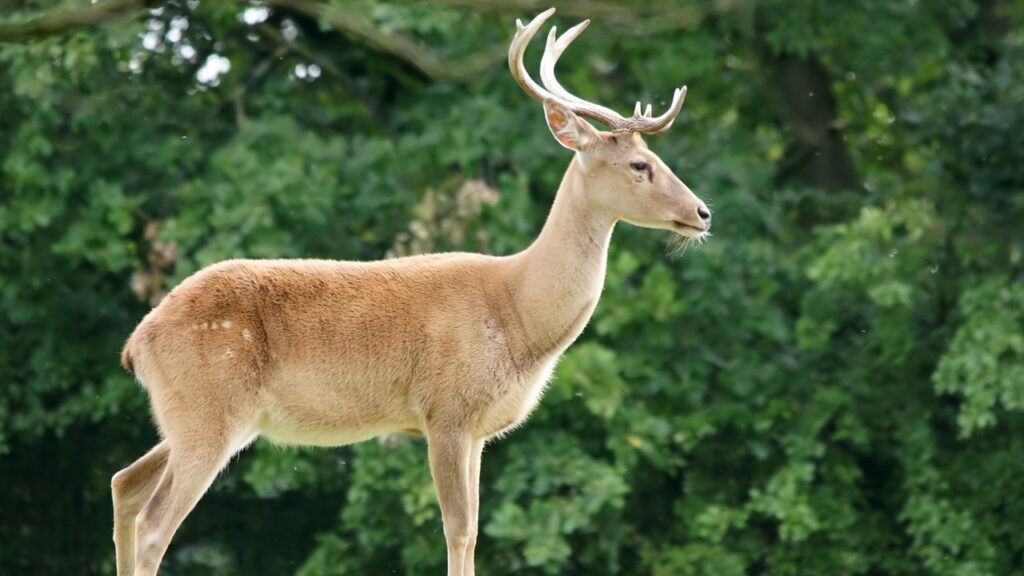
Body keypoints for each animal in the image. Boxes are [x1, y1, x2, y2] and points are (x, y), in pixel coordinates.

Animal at [111, 7, 710, 576]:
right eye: (640, 165)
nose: (703, 213)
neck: (518, 314)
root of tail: (136, 343)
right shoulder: (445, 409)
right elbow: (459, 530)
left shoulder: (478, 430)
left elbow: (473, 531)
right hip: (209, 408)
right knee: (154, 524)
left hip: (188, 415)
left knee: (124, 484)